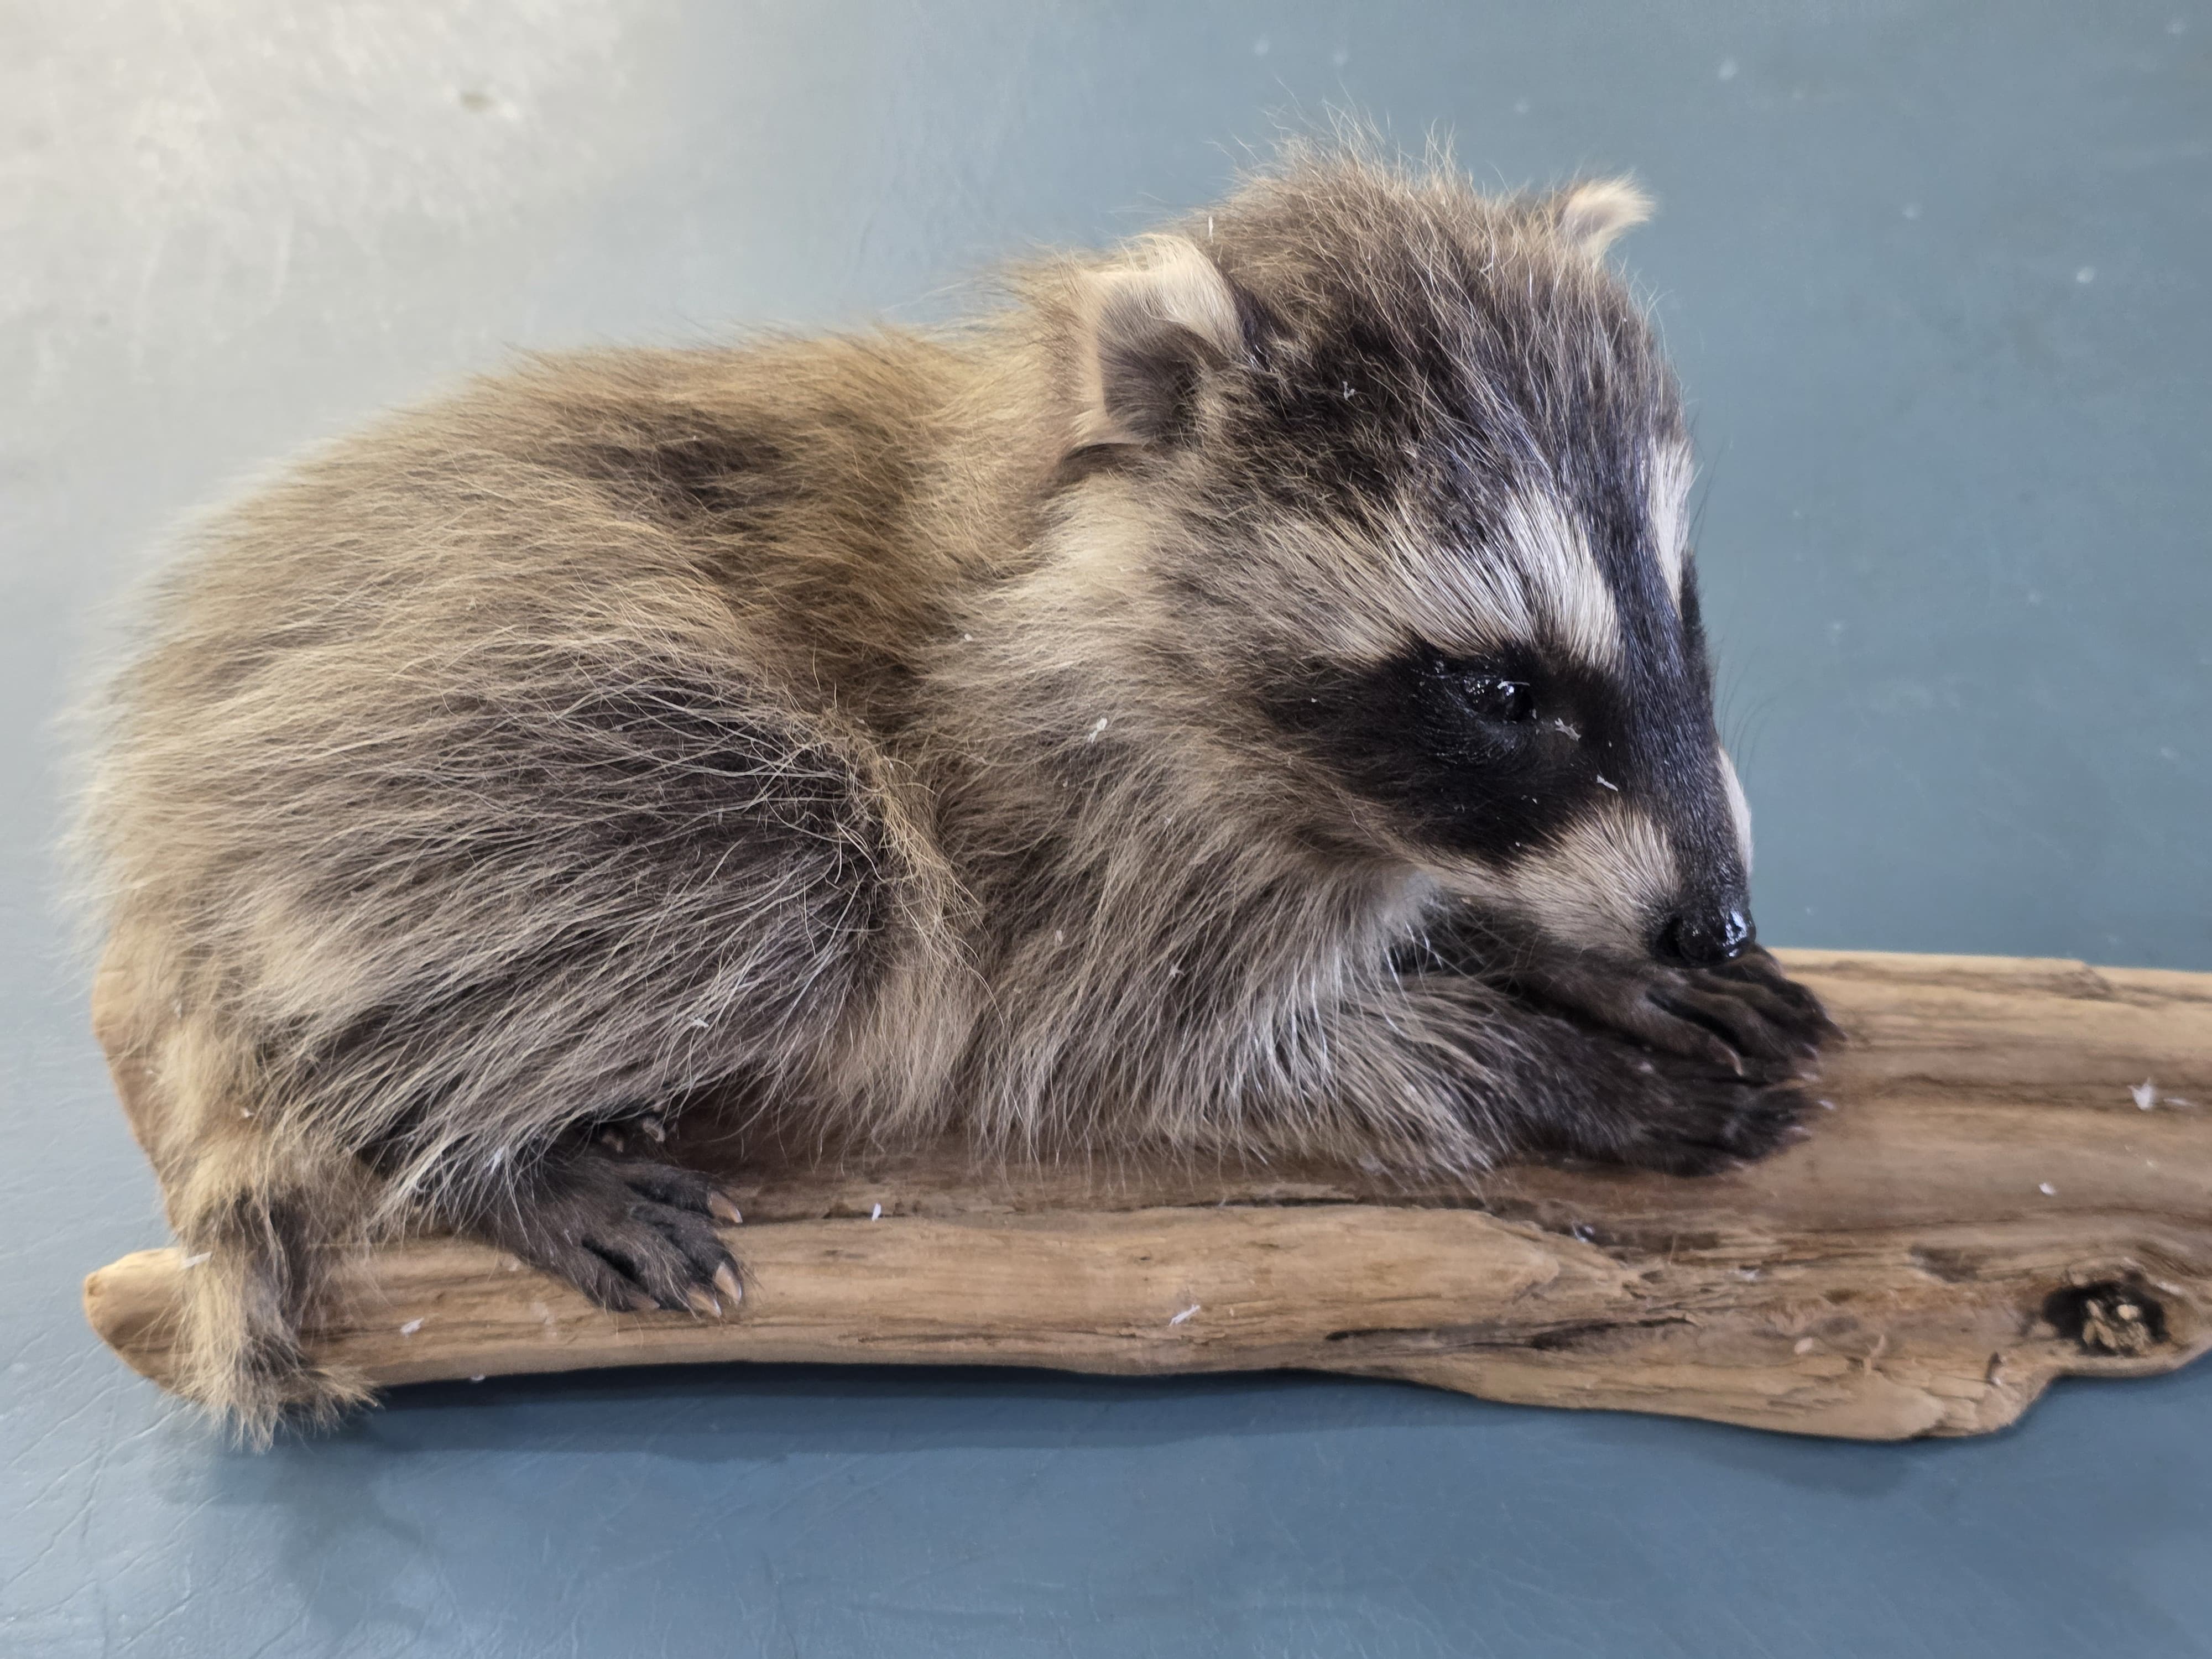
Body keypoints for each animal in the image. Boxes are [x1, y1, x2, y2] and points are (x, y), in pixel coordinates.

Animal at [74, 147, 1835, 1441]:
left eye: (1677, 608)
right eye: (1502, 689)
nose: (1713, 920)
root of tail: (173, 815)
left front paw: (1553, 953)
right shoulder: (1079, 849)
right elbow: (1203, 1057)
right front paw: (1539, 1060)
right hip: (466, 731)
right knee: (785, 859)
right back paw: (453, 1129)